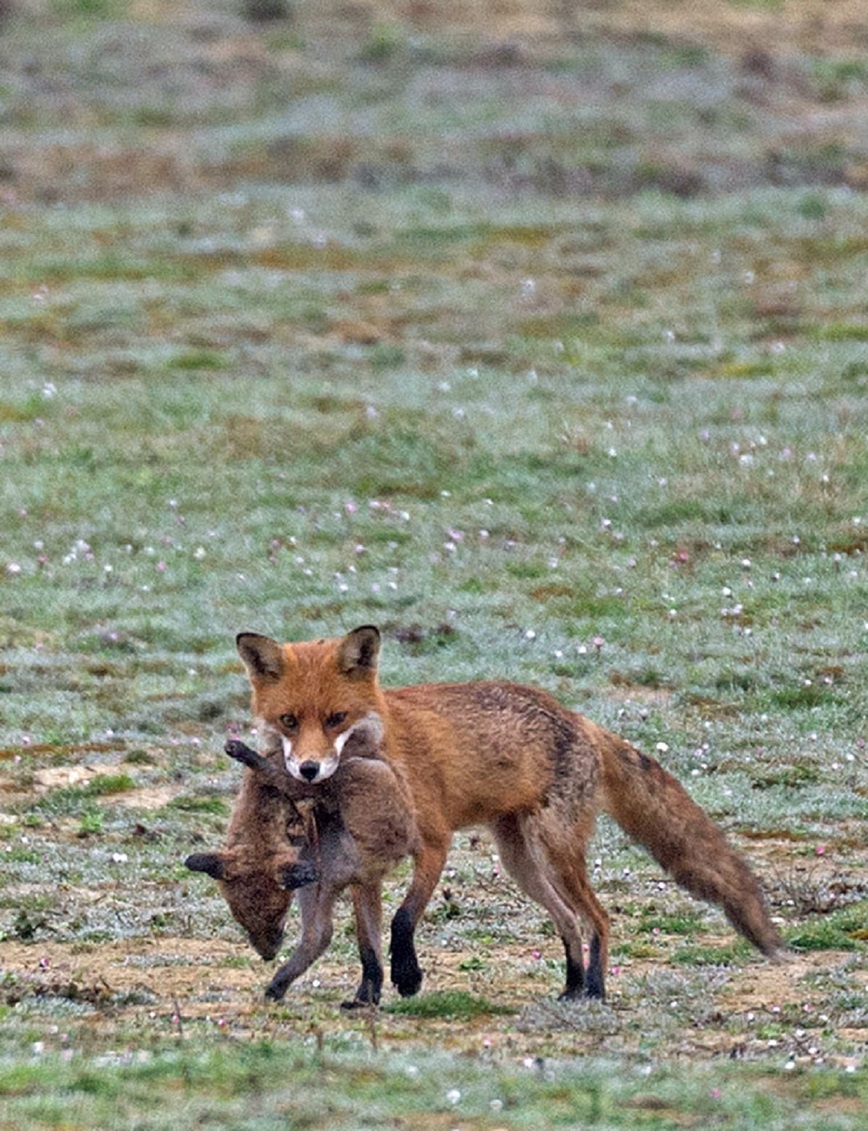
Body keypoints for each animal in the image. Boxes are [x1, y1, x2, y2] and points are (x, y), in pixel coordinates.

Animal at [228, 628, 778, 1008]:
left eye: (336, 719)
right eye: (289, 721)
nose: (308, 769)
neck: (376, 755)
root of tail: (580, 719)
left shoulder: (434, 843)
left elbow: (404, 920)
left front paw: (409, 978)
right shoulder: (365, 869)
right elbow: (368, 946)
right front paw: (367, 997)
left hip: (555, 852)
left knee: (598, 918)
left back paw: (595, 991)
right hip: (521, 862)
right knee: (568, 921)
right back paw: (572, 986)